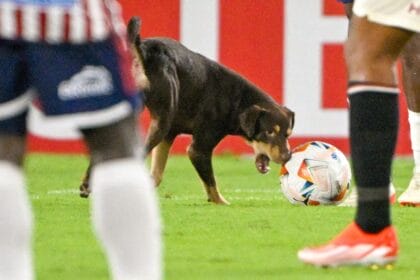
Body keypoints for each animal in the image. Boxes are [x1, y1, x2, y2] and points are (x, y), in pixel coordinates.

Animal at [79, 17, 296, 205]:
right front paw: (222, 202)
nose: (287, 157)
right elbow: (211, 185)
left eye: (287, 134)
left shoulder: (169, 135)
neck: (236, 99)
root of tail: (143, 49)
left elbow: (156, 175)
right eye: (269, 132)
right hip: (161, 121)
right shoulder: (198, 149)